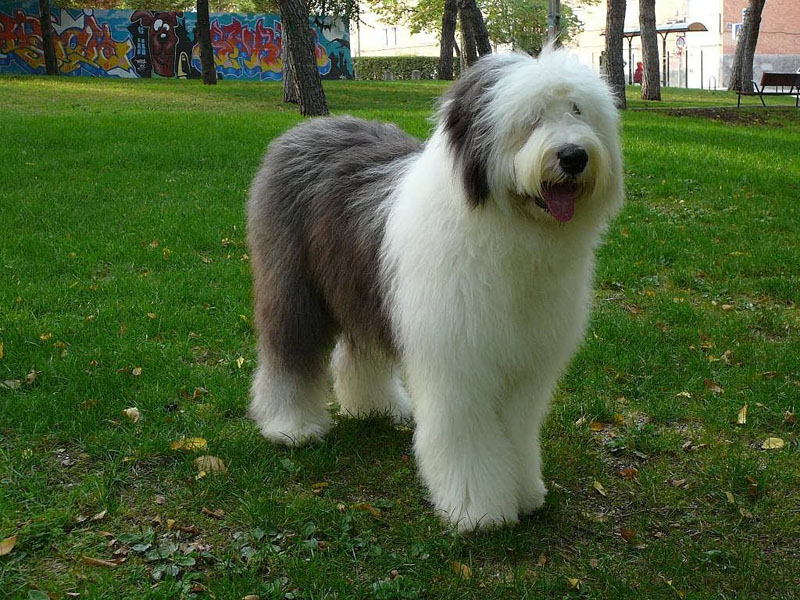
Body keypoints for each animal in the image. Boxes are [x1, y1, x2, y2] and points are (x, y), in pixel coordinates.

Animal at [247, 49, 620, 532]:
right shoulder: (457, 363)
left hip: (366, 287)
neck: (509, 235)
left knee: (358, 349)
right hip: (294, 285)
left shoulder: (525, 366)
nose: (573, 156)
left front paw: (524, 493)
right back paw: (290, 426)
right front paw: (479, 510)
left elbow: (517, 431)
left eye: (578, 110)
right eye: (531, 118)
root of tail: (307, 128)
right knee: (289, 349)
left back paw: (374, 406)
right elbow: (467, 437)